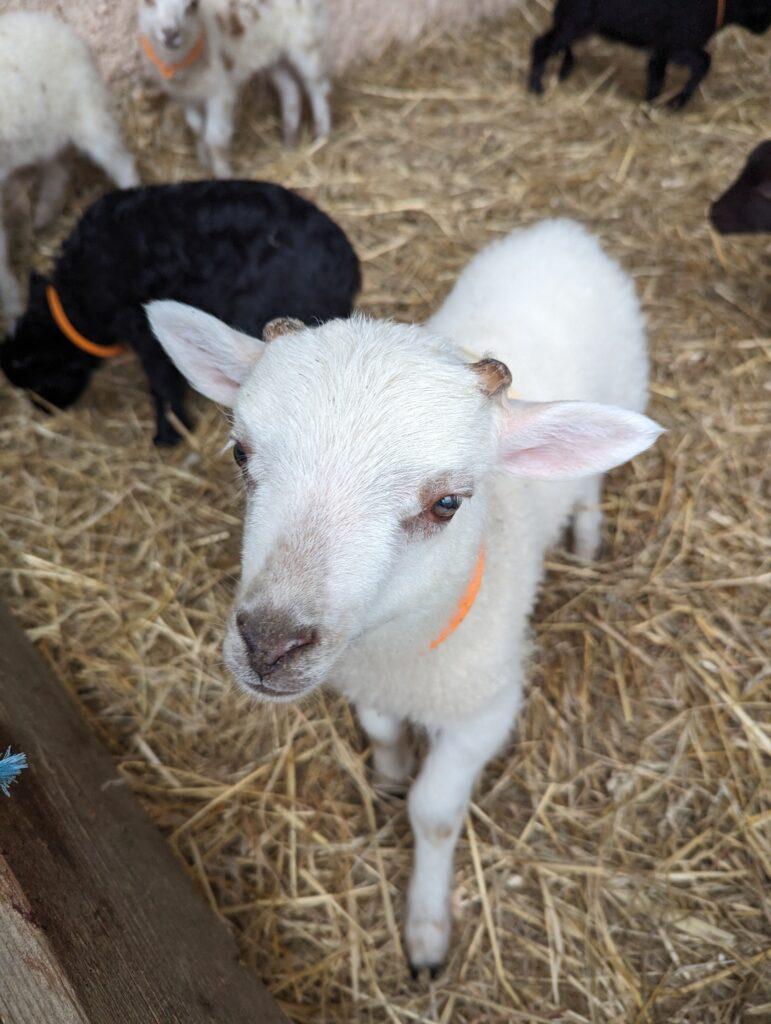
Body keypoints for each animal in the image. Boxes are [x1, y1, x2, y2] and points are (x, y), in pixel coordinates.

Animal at [0, 12, 137, 323]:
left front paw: (13, 309)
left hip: (88, 112)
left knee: (120, 160)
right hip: (43, 132)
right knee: (58, 170)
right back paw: (42, 215)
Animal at [0, 182, 360, 446]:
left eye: (34, 376)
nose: (44, 410)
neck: (79, 297)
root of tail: (349, 266)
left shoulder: (142, 331)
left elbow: (162, 382)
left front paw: (169, 433)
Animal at [137, 0, 329, 176]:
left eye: (192, 5)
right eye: (149, 2)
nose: (170, 34)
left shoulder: (219, 91)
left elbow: (215, 137)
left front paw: (223, 173)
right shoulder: (185, 95)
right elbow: (197, 128)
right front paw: (204, 161)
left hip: (303, 40)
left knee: (318, 87)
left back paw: (323, 135)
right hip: (271, 55)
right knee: (290, 88)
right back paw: (289, 142)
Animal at [145, 220, 663, 970]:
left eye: (447, 503)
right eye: (241, 454)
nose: (269, 644)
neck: (399, 649)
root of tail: (564, 232)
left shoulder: (484, 713)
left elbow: (434, 814)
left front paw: (425, 929)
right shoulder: (361, 673)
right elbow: (382, 730)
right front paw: (389, 772)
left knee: (591, 485)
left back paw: (588, 537)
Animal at [528, 1, 769, 108]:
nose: (764, 29)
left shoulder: (662, 48)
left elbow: (656, 76)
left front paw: (650, 106)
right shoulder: (679, 45)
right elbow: (704, 63)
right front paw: (677, 102)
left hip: (572, 23)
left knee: (556, 45)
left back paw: (562, 72)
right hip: (576, 22)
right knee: (541, 45)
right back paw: (536, 87)